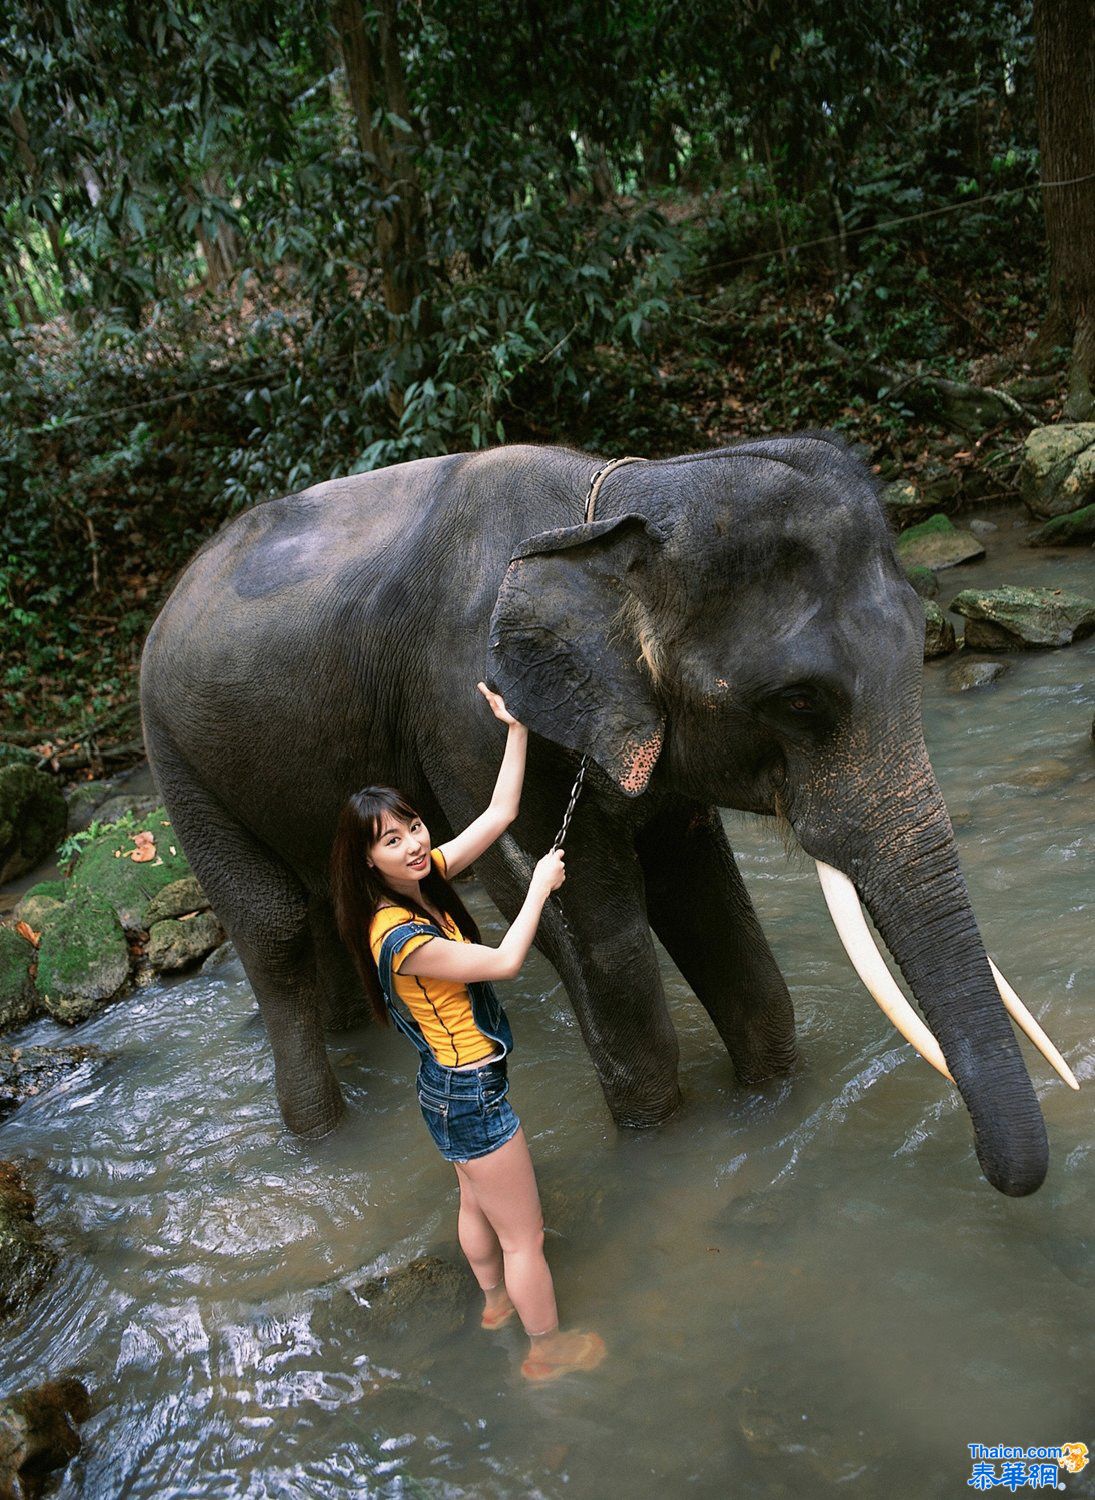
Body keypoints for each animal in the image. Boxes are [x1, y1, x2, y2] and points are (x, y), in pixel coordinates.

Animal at [138, 432, 1068, 1194]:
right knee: (274, 929)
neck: (616, 504)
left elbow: (704, 901)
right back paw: (322, 1139)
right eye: (798, 701)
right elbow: (590, 930)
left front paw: (771, 1098)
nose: (1000, 1172)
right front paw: (659, 1143)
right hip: (174, 760)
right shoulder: (466, 715)